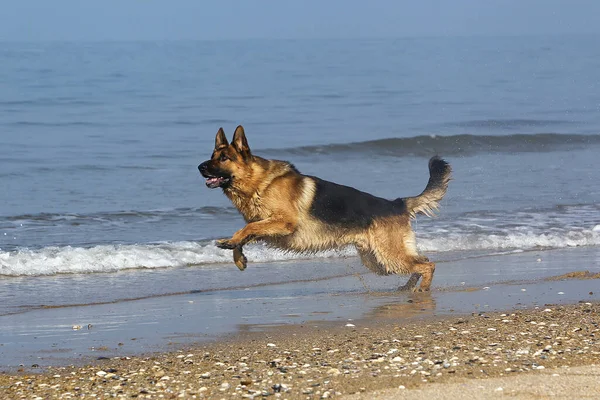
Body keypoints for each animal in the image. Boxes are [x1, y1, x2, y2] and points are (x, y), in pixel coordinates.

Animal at [199, 126, 452, 292]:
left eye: (224, 158)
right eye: (212, 156)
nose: (200, 167)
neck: (258, 182)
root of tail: (396, 203)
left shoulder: (283, 222)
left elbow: (247, 228)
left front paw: (231, 242)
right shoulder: (268, 225)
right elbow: (248, 231)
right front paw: (238, 257)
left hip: (389, 256)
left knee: (428, 265)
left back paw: (422, 290)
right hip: (379, 261)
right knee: (422, 261)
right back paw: (408, 287)